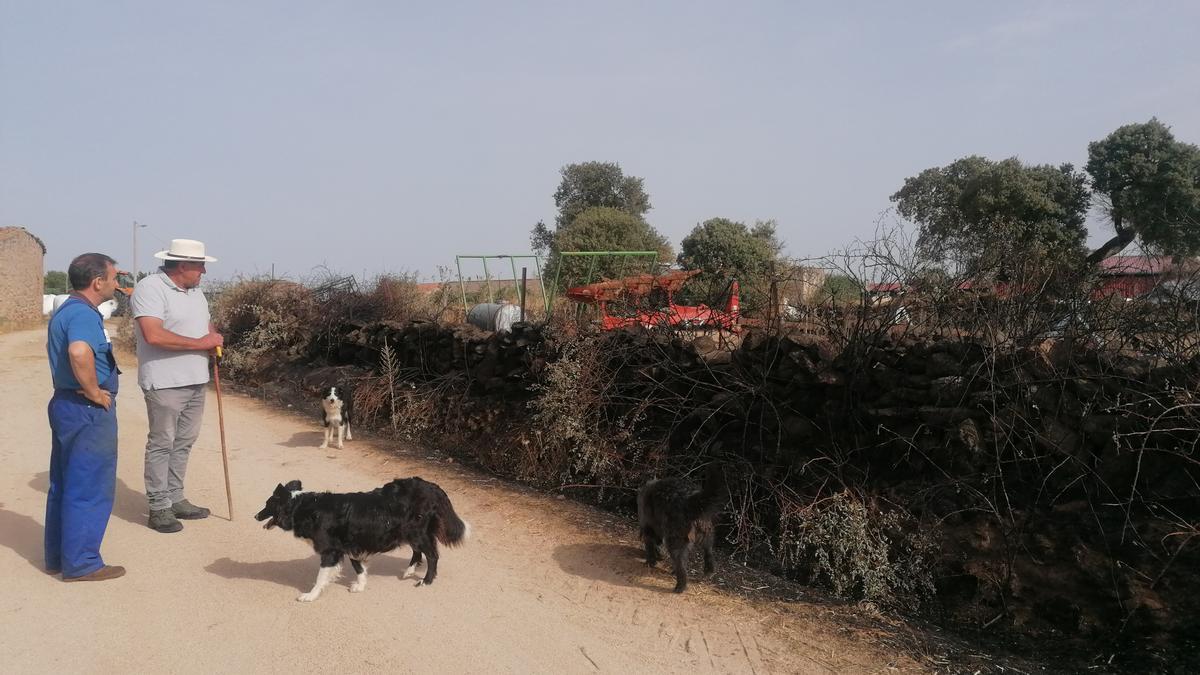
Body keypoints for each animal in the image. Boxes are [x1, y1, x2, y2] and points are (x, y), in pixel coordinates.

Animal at [252, 473, 468, 598]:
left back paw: (426, 581)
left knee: (432, 555)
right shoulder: (350, 545)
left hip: (417, 532)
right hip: (409, 532)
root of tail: (432, 487)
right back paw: (408, 571)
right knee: (418, 552)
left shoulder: (330, 551)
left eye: (267, 504)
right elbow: (359, 567)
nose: (255, 516)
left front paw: (310, 596)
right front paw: (360, 586)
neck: (301, 508)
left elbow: (321, 577)